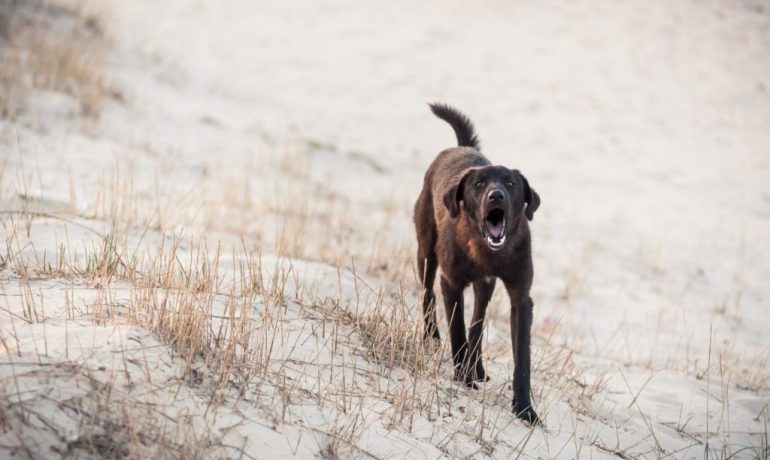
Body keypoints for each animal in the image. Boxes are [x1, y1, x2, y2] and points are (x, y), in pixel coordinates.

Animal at [414, 102, 540, 426]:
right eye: (479, 183)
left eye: (510, 183)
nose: (496, 196)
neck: (488, 251)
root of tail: (460, 148)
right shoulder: (451, 282)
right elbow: (457, 329)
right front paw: (462, 376)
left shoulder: (521, 297)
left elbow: (522, 359)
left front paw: (525, 408)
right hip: (425, 252)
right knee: (427, 294)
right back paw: (433, 338)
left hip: (487, 285)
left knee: (478, 320)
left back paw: (478, 366)